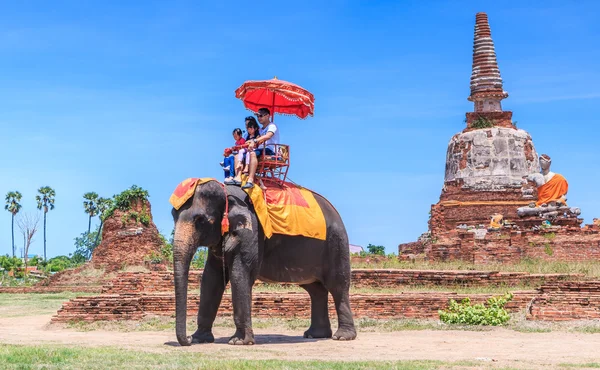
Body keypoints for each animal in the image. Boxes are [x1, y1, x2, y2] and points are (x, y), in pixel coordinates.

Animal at [169, 181, 356, 346]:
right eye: (173, 216)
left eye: (200, 220)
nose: (187, 340)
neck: (227, 193)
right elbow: (211, 279)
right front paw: (200, 339)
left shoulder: (251, 231)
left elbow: (239, 274)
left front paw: (239, 342)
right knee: (316, 289)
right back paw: (315, 335)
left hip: (336, 243)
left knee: (338, 286)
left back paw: (342, 337)